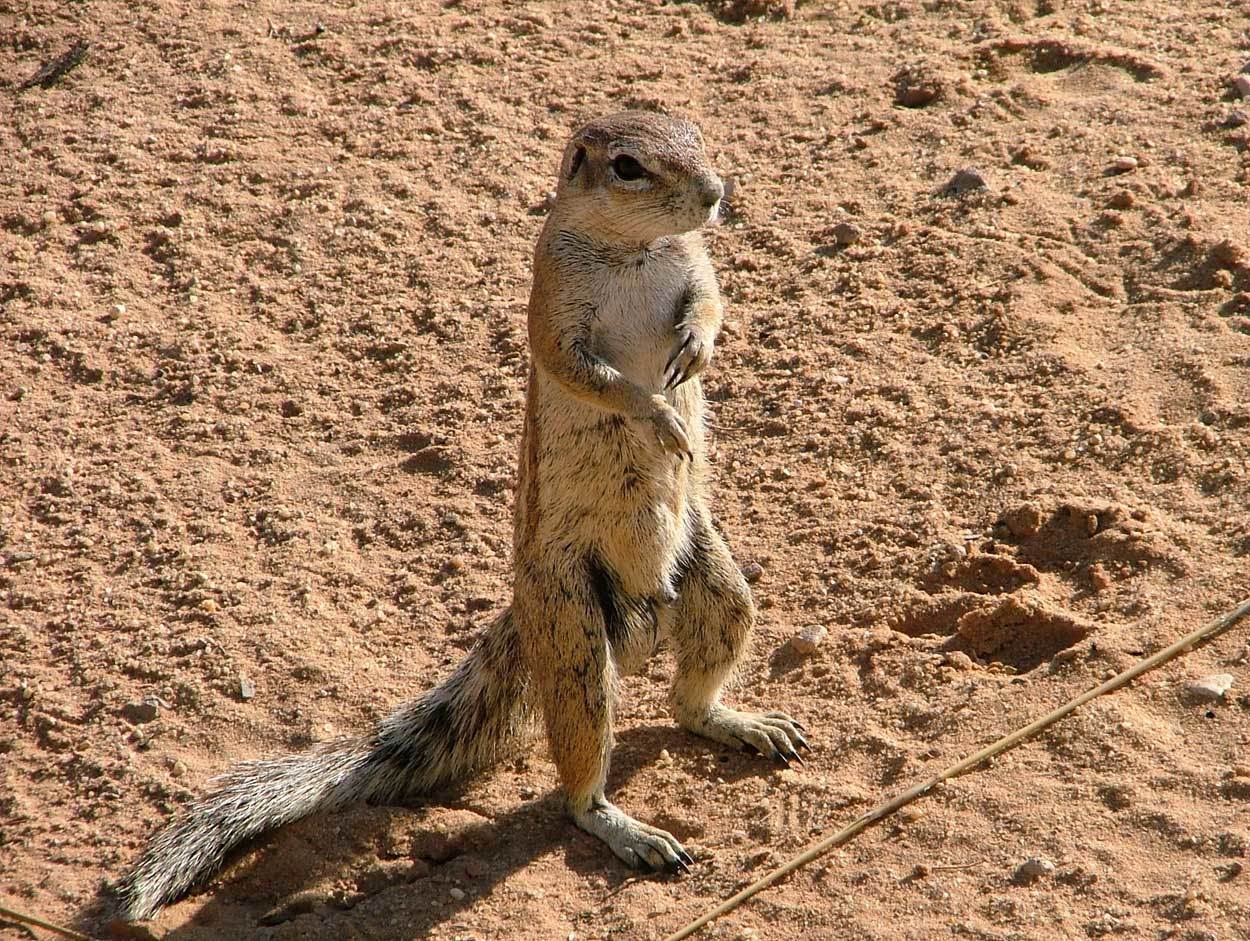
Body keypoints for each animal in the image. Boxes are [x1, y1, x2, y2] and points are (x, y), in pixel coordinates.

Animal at [112, 109, 805, 919]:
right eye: (628, 167)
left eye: (693, 130)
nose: (715, 194)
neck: (636, 251)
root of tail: (642, 616)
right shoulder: (554, 308)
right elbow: (589, 374)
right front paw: (658, 414)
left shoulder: (695, 271)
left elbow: (712, 305)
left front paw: (694, 349)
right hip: (571, 629)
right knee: (581, 781)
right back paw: (625, 827)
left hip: (715, 581)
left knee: (688, 700)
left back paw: (742, 721)